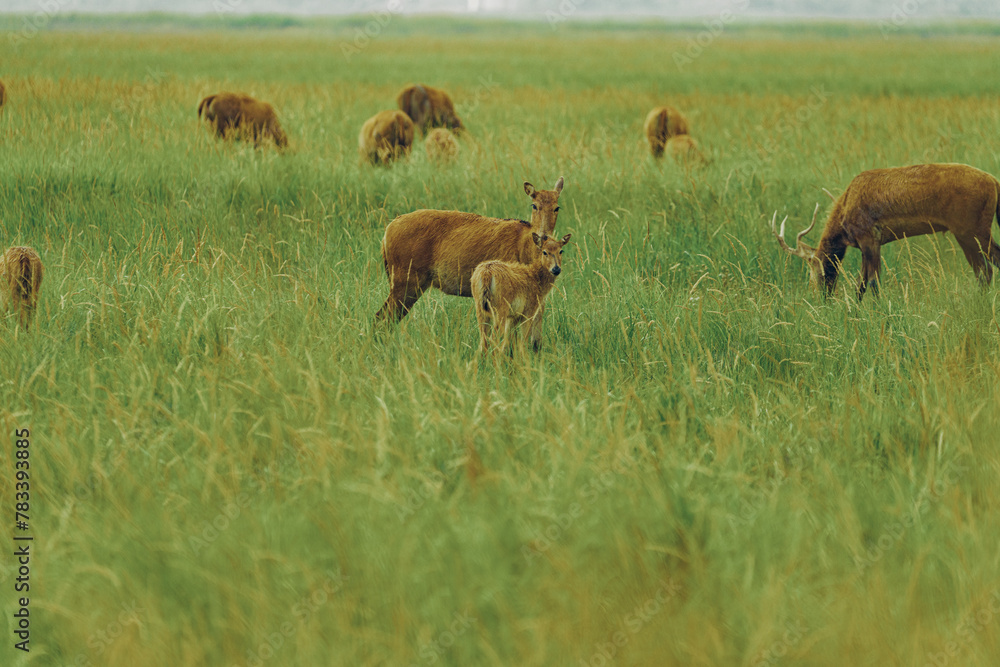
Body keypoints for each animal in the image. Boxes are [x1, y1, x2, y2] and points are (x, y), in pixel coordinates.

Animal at [375, 177, 565, 325]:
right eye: (534, 205)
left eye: (557, 207)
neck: (525, 248)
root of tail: (386, 233)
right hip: (405, 279)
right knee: (382, 317)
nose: (543, 236)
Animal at [772, 163, 1000, 300]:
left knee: (987, 268)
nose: (821, 297)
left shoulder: (869, 237)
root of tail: (995, 182)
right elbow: (861, 284)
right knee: (983, 270)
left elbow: (873, 282)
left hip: (972, 230)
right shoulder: (866, 244)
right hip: (967, 233)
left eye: (817, 272)